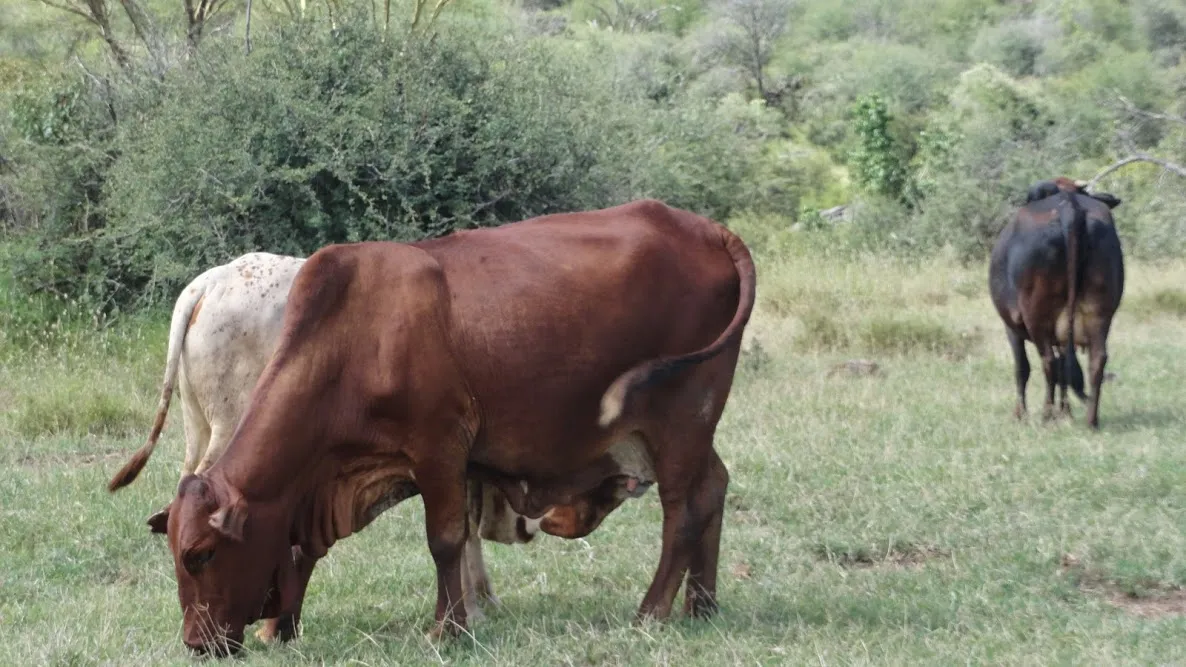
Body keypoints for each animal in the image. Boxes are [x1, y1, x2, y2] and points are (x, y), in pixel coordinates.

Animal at [990, 177, 1125, 429]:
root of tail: (1069, 205)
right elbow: (1065, 369)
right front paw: (1066, 412)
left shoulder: (1011, 326)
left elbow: (1022, 368)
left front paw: (1021, 414)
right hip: (1100, 311)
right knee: (1096, 360)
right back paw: (1091, 420)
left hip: (1036, 315)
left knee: (1048, 362)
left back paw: (1046, 415)